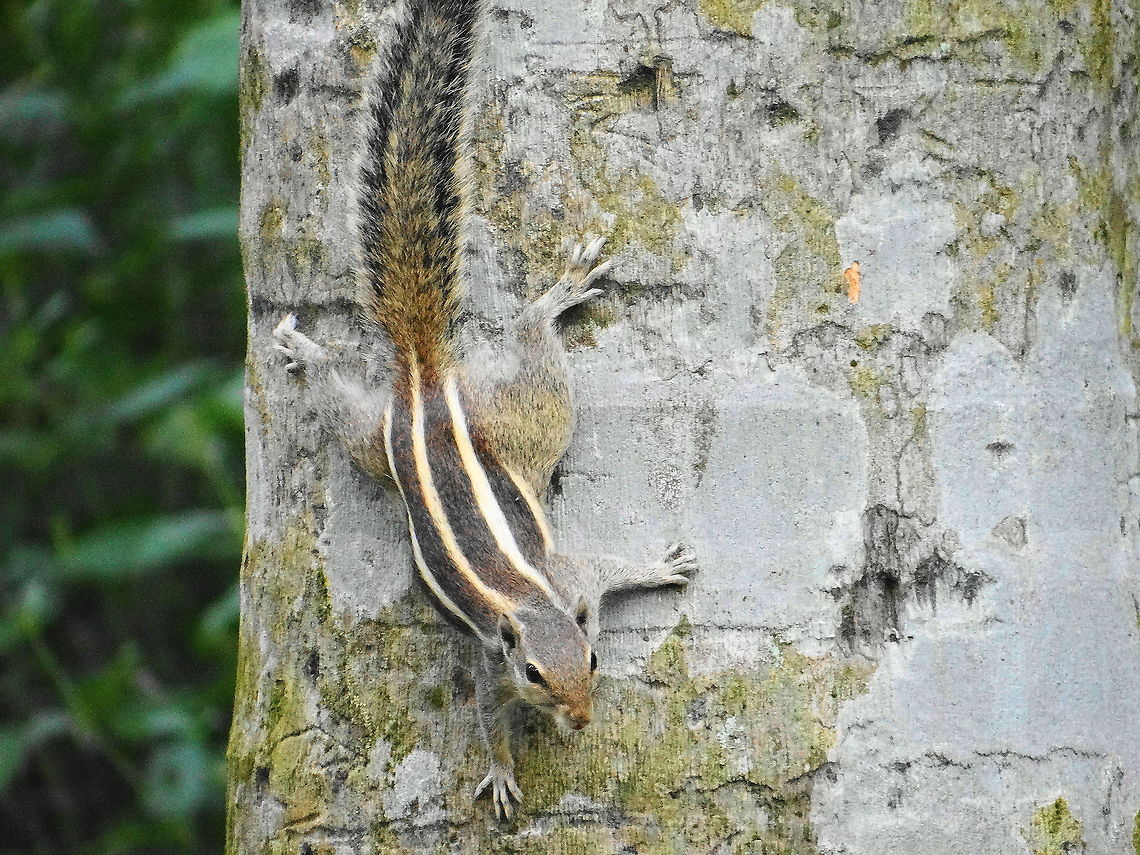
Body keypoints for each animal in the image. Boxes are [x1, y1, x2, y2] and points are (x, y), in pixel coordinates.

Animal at [271, 0, 696, 819]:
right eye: (532, 673)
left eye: (594, 658)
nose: (583, 717)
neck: (529, 602)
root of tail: (423, 381)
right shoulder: (488, 658)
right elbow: (485, 717)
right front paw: (501, 772)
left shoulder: (575, 581)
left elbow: (610, 567)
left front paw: (659, 567)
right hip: (407, 436)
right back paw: (308, 351)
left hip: (512, 417)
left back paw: (552, 296)